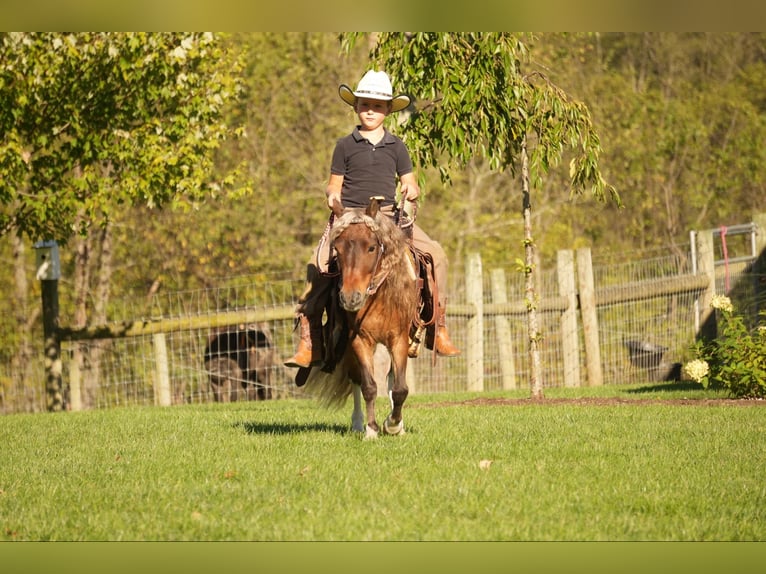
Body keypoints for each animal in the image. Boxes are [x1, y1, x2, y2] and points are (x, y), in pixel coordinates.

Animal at [304, 198, 420, 440]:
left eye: (371, 247)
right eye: (337, 249)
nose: (350, 298)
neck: (379, 296)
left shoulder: (399, 339)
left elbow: (400, 388)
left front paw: (393, 424)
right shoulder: (360, 340)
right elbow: (368, 386)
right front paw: (371, 429)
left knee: (391, 379)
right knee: (356, 378)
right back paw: (358, 423)